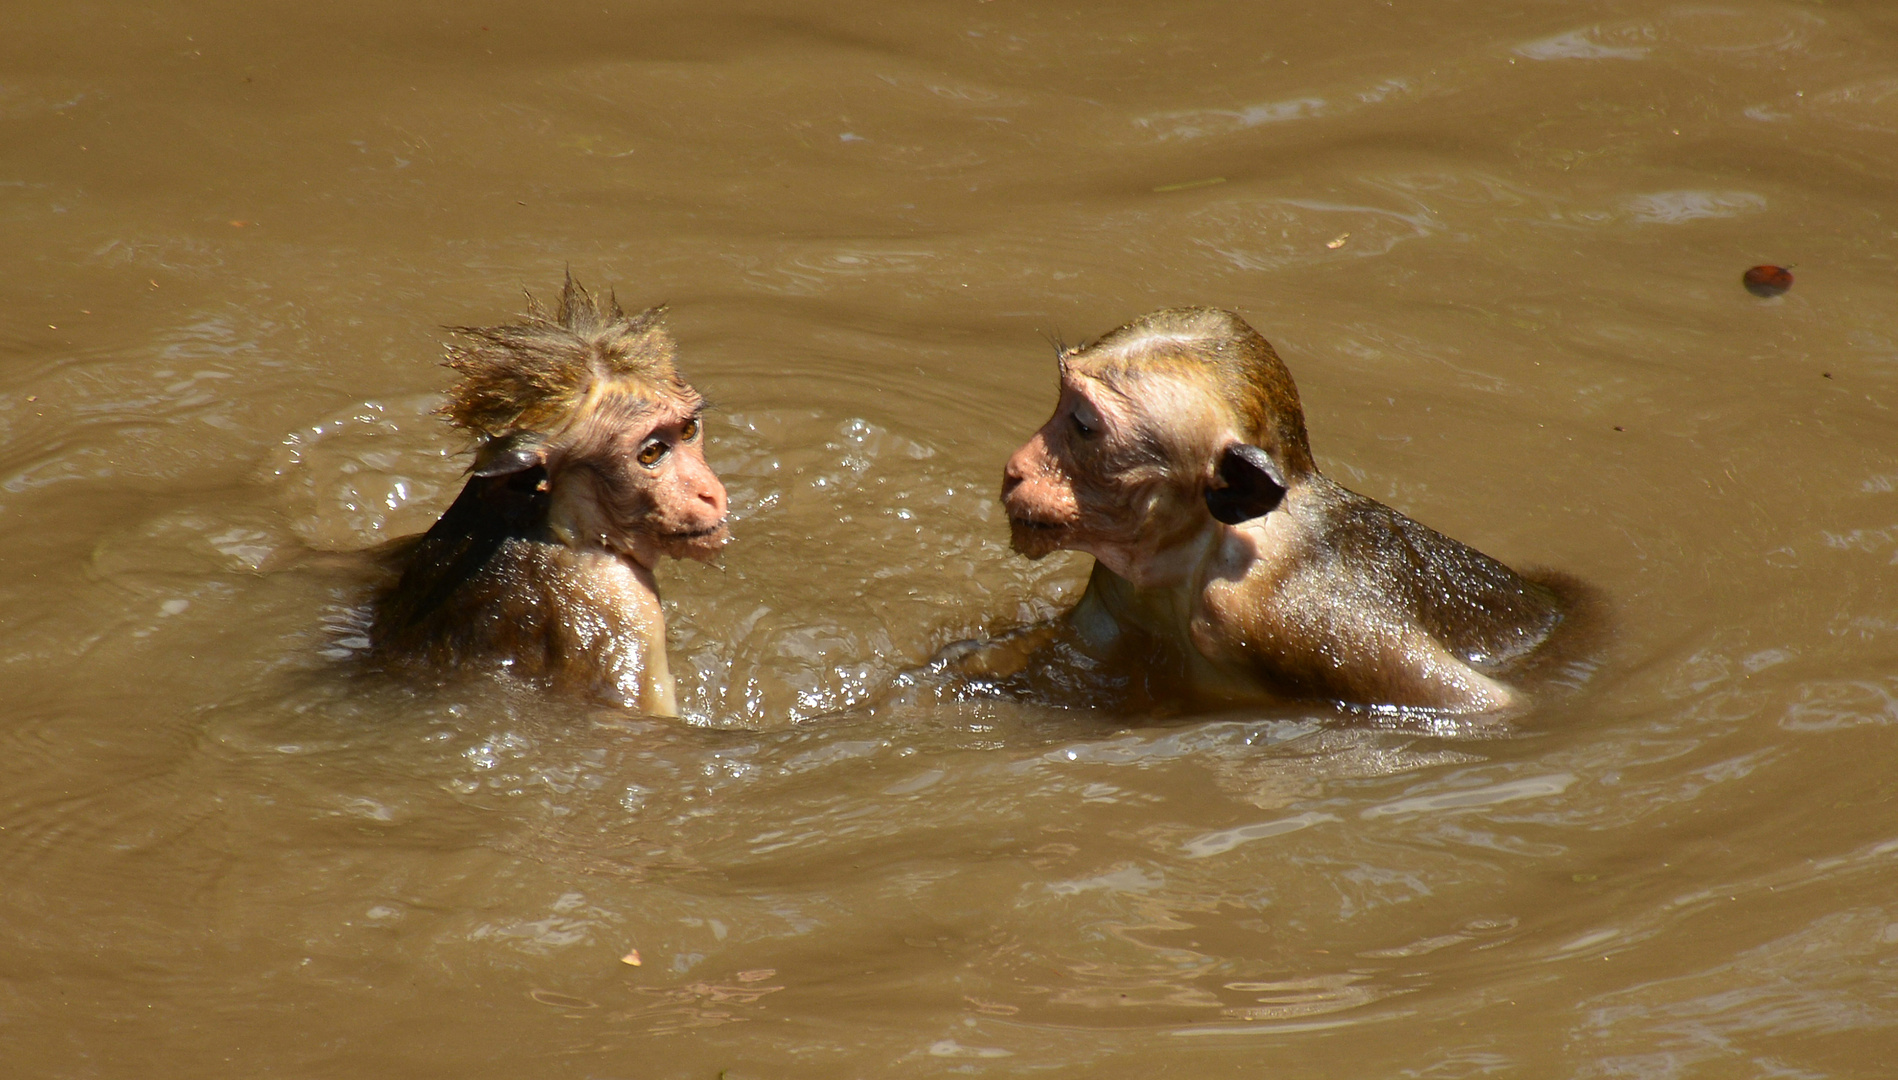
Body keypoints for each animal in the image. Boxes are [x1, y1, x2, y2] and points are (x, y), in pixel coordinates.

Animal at [941, 307, 1594, 709]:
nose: (1016, 467)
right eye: (1062, 405)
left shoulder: (1296, 618)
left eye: (1081, 425)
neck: (1205, 553)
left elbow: (1493, 705)